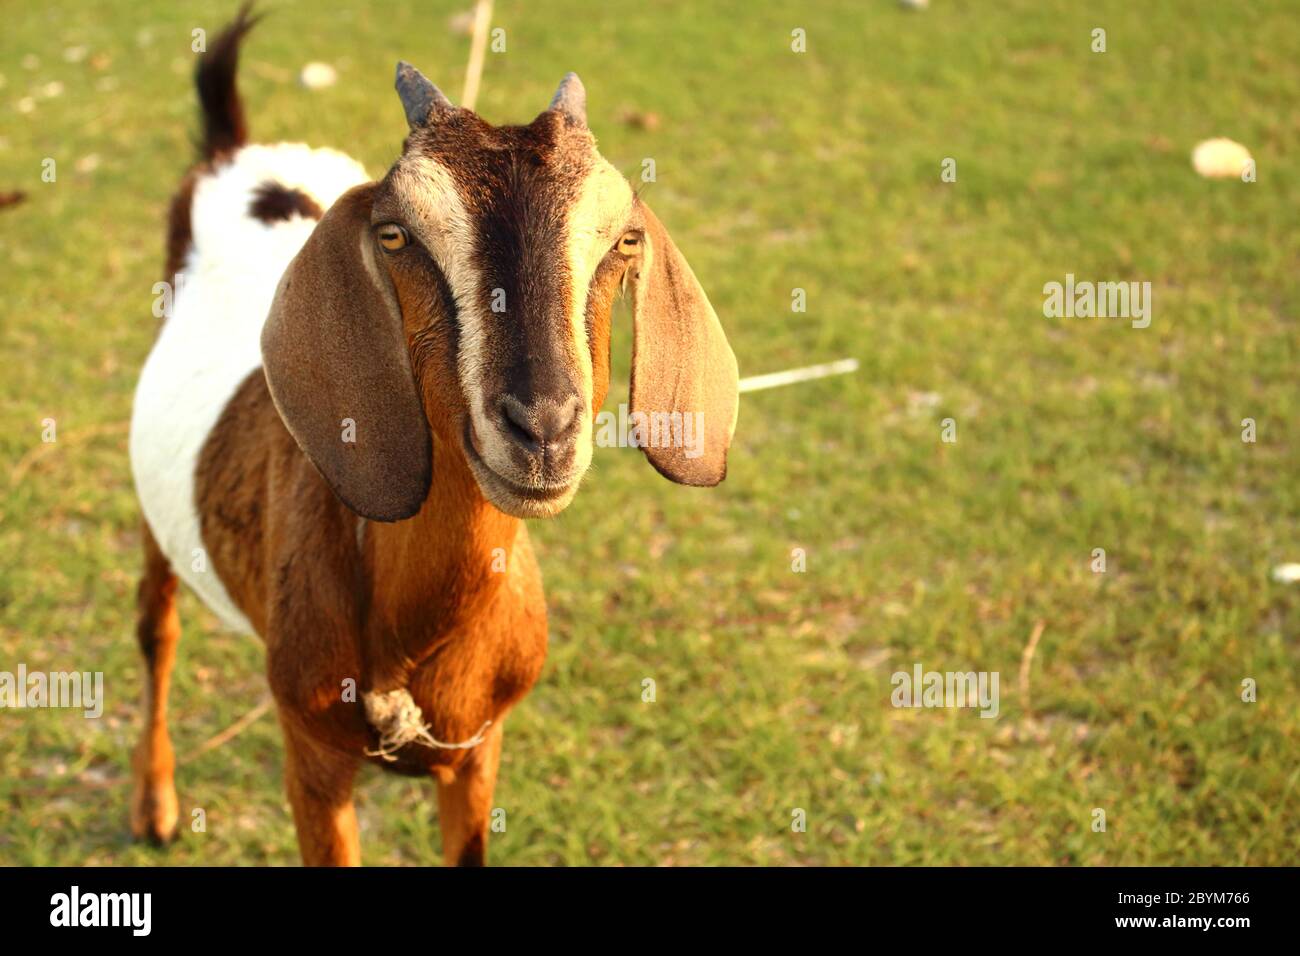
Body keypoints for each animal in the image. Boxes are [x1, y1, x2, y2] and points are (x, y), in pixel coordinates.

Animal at [127, 7, 738, 866]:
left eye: (624, 240)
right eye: (395, 235)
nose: (542, 428)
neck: (411, 640)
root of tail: (236, 153)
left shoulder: (479, 751)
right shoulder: (312, 756)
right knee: (157, 625)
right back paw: (154, 805)